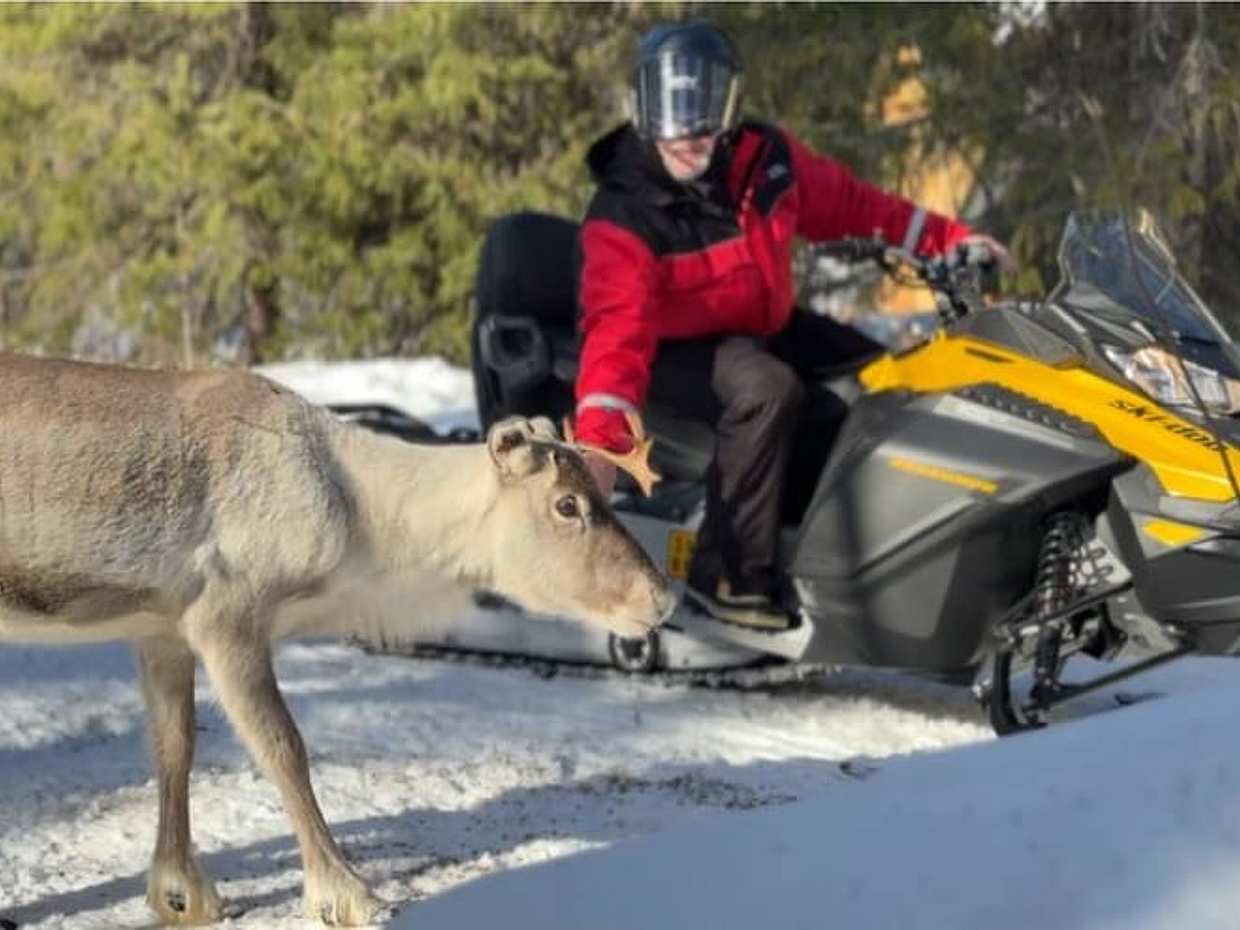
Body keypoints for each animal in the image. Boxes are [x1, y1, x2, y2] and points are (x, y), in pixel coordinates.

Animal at [0, 351, 672, 926]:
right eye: (567, 505)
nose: (661, 597)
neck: (362, 519)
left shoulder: (162, 629)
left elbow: (174, 748)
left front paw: (182, 894)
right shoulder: (227, 617)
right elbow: (283, 748)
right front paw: (348, 893)